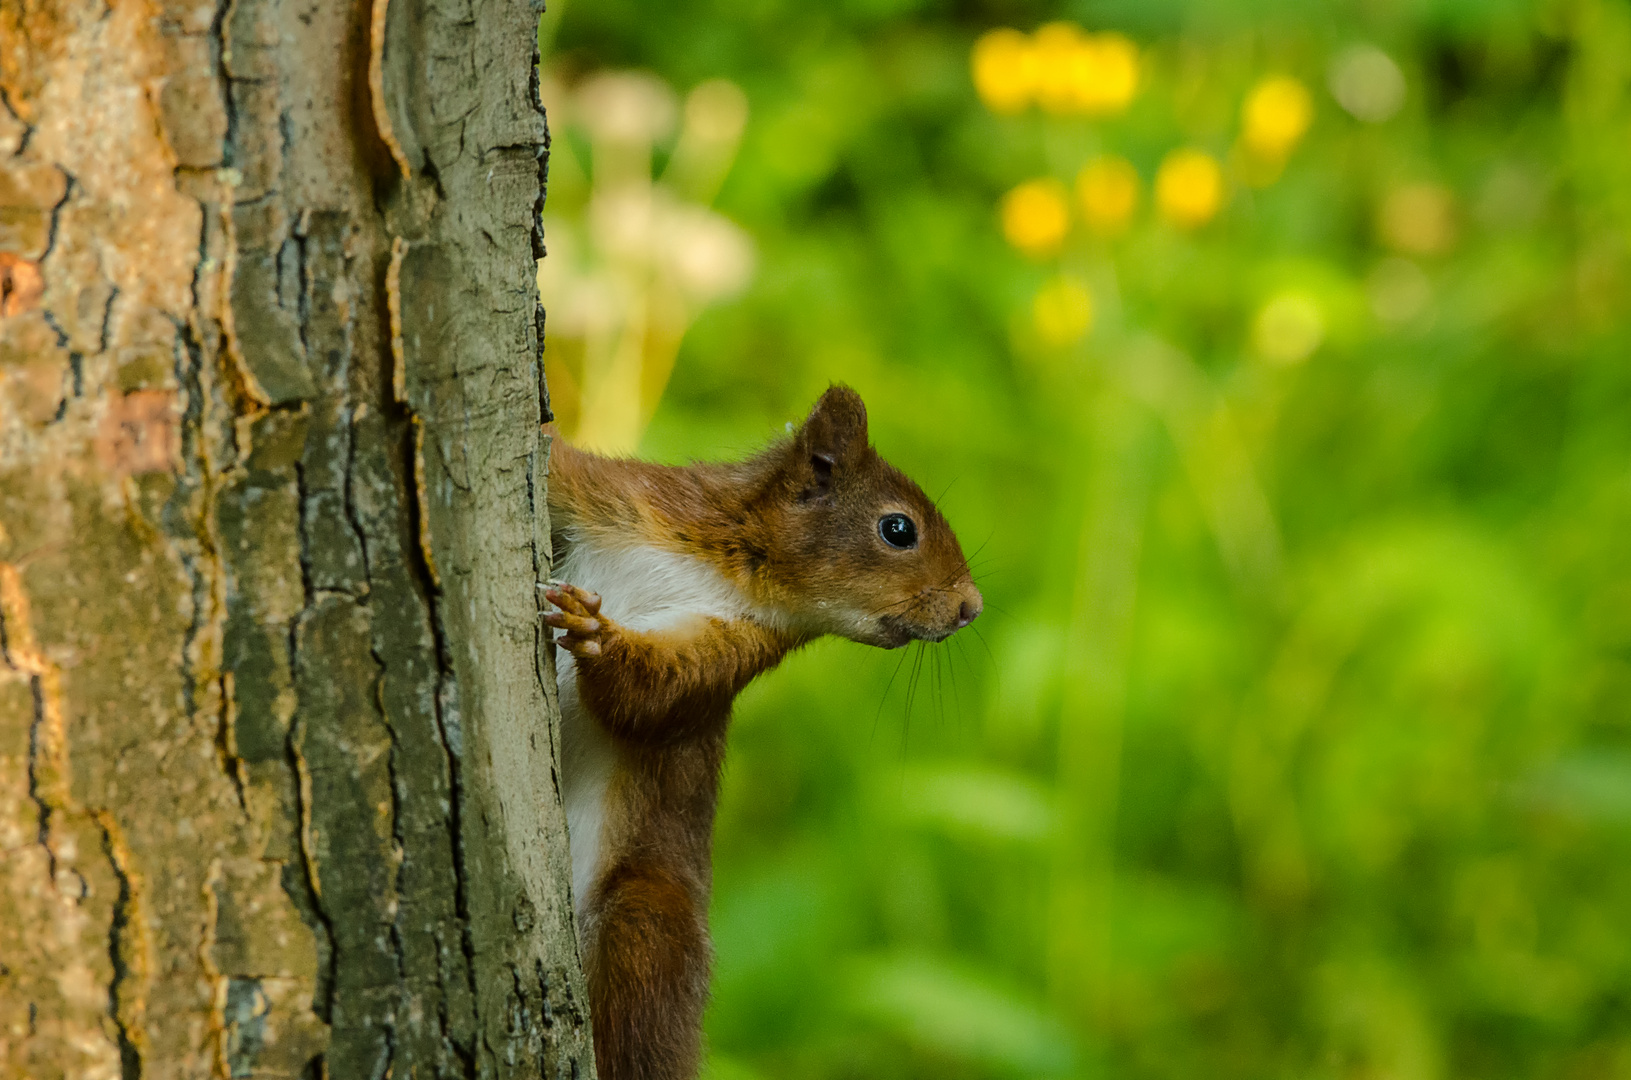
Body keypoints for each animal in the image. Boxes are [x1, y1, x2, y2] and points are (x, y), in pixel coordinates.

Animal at [544, 389, 978, 1080]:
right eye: (898, 529)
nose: (972, 608)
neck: (735, 565)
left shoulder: (735, 646)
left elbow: (651, 695)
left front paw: (597, 635)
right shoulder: (626, 500)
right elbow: (563, 470)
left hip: (647, 923)